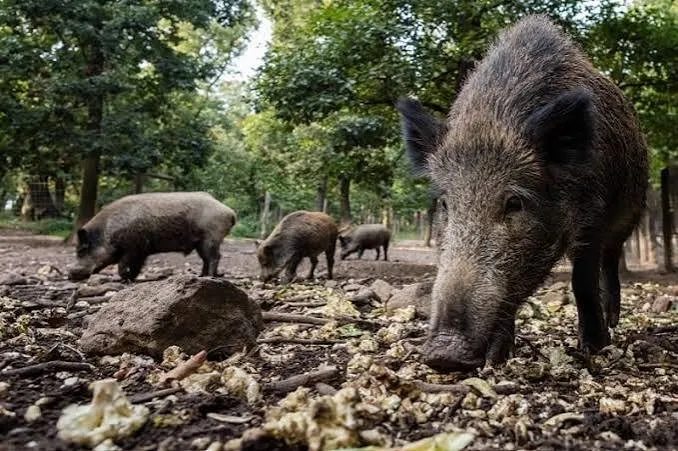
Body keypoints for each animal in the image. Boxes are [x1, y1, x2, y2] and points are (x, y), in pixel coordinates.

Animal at [67, 192, 236, 282]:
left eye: (81, 250)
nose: (70, 274)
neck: (108, 232)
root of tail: (230, 212)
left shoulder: (133, 248)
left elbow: (123, 265)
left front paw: (124, 279)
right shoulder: (141, 251)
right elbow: (135, 266)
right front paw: (130, 279)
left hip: (210, 237)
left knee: (215, 257)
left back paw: (210, 277)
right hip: (201, 243)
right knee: (206, 259)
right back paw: (201, 276)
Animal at [397, 15, 648, 371]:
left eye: (514, 202)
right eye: (445, 203)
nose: (444, 353)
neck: (493, 121)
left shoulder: (594, 216)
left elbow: (582, 281)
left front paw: (594, 348)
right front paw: (498, 358)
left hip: (632, 208)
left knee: (613, 257)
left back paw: (612, 320)